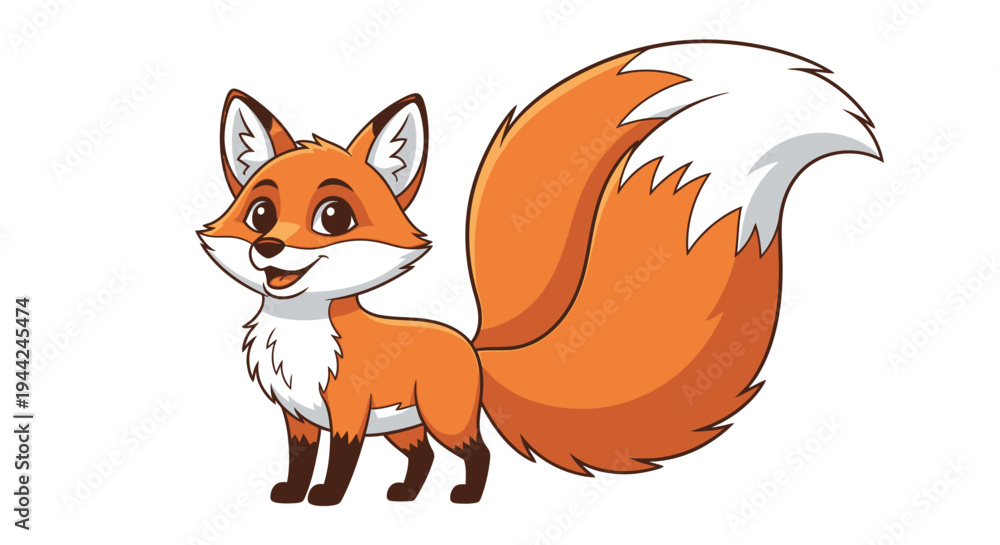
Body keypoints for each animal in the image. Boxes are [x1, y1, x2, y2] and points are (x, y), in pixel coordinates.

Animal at [198, 40, 881, 505]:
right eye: (260, 212)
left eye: (333, 216)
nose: (269, 248)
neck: (301, 339)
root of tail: (472, 346)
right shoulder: (298, 417)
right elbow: (298, 461)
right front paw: (292, 496)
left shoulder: (346, 414)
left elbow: (338, 468)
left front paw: (325, 501)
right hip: (405, 426)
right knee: (422, 459)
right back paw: (408, 495)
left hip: (438, 419)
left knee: (475, 454)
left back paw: (465, 498)